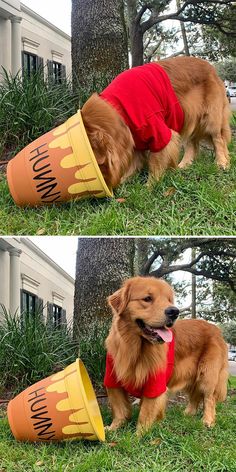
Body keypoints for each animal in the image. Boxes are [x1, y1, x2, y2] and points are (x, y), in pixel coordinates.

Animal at [81, 56, 230, 187]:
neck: (119, 106)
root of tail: (212, 68)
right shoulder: (135, 139)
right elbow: (135, 162)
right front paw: (126, 180)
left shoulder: (158, 131)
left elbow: (155, 161)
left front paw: (150, 185)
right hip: (188, 117)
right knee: (192, 143)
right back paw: (185, 164)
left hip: (210, 119)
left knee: (218, 140)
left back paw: (221, 162)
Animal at [103, 276, 229, 436]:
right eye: (147, 298)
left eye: (169, 300)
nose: (174, 311)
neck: (134, 348)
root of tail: (216, 329)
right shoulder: (112, 379)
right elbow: (119, 409)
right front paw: (113, 428)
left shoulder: (155, 382)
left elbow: (145, 412)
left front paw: (138, 435)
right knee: (195, 396)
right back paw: (188, 413)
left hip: (207, 374)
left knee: (209, 399)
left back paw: (207, 420)